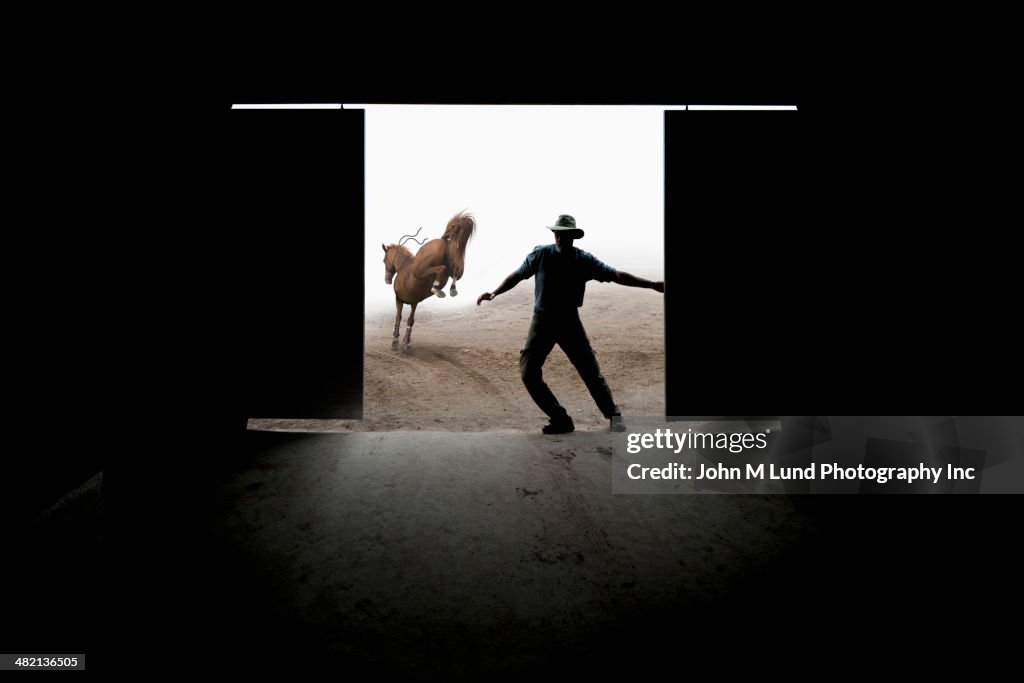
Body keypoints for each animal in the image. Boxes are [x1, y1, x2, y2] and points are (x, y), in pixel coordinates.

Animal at [382, 208, 477, 348]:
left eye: (384, 260)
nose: (387, 279)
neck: (403, 267)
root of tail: (444, 241)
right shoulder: (413, 303)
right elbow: (408, 320)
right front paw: (404, 339)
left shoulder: (400, 299)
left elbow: (401, 318)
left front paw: (399, 339)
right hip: (456, 264)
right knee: (455, 273)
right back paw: (450, 290)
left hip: (420, 271)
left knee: (441, 269)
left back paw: (436, 287)